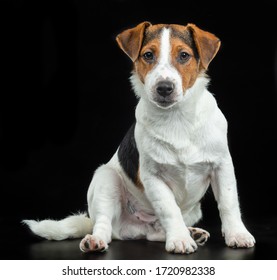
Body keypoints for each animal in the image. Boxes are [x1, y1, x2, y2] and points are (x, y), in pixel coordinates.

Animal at [23, 21, 254, 254]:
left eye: (184, 56)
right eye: (148, 55)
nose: (164, 88)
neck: (177, 117)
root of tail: (136, 228)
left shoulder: (222, 166)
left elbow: (228, 203)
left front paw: (237, 234)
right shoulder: (153, 176)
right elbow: (170, 210)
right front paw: (179, 238)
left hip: (192, 210)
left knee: (155, 233)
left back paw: (191, 233)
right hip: (106, 180)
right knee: (105, 225)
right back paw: (95, 240)